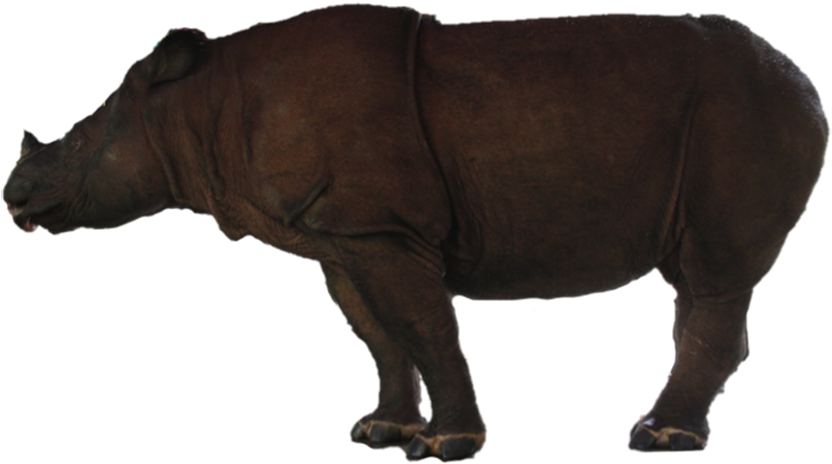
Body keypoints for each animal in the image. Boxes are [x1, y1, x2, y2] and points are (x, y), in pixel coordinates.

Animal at [3, 4, 827, 460]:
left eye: (78, 146)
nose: (12, 196)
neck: (202, 103)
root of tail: (803, 78)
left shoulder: (384, 229)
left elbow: (426, 327)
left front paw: (449, 446)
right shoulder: (344, 235)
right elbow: (381, 335)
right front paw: (383, 430)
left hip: (746, 110)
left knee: (715, 275)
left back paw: (659, 438)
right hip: (743, 111)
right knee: (700, 282)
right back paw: (672, 428)